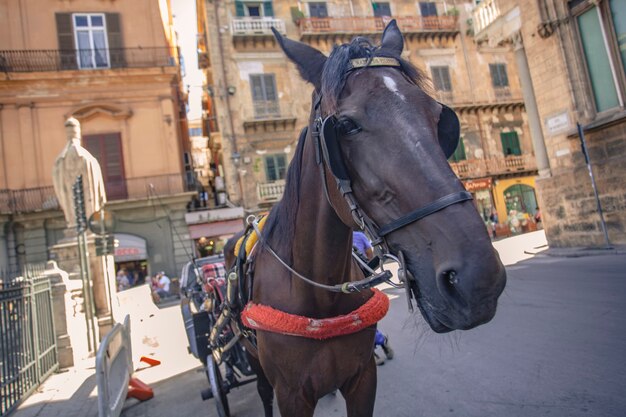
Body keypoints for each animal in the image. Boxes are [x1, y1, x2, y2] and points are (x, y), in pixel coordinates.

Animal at [227, 18, 504, 416]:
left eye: (439, 117)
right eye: (344, 126)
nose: (478, 279)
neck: (319, 299)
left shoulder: (362, 380)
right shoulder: (291, 396)